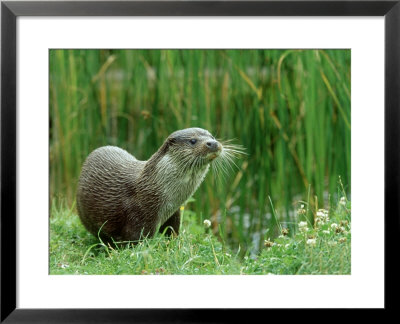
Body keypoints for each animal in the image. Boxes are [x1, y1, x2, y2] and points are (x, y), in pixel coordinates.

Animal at [76, 126, 234, 243]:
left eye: (212, 137)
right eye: (193, 140)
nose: (213, 143)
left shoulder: (174, 212)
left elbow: (173, 231)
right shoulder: (139, 214)